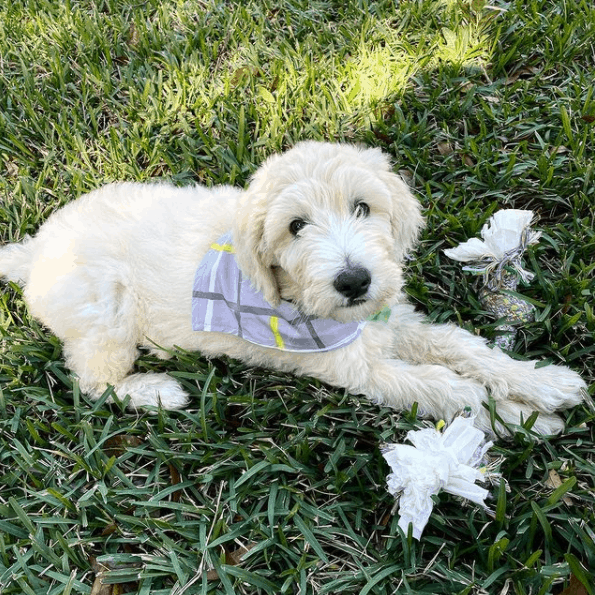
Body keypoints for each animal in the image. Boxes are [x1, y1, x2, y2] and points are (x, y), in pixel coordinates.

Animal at [0, 143, 588, 434]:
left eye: (362, 207)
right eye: (295, 227)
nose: (354, 281)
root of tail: (36, 251)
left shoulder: (389, 320)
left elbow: (462, 347)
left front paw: (542, 385)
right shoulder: (358, 369)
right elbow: (447, 388)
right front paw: (518, 417)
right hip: (105, 315)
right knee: (92, 382)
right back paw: (156, 391)